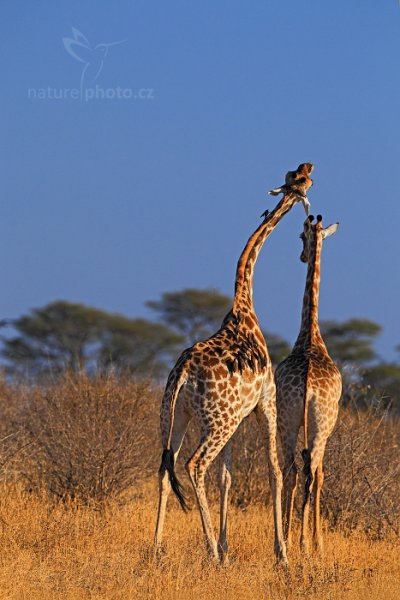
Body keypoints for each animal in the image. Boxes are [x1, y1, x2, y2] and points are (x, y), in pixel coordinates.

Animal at [153, 190, 306, 564]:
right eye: (299, 184)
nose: (303, 181)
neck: (244, 307)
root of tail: (183, 373)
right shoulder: (266, 401)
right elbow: (275, 471)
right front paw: (281, 555)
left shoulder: (239, 416)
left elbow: (226, 476)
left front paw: (228, 545)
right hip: (218, 421)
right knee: (194, 465)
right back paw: (211, 553)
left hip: (177, 415)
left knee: (166, 465)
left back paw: (156, 550)